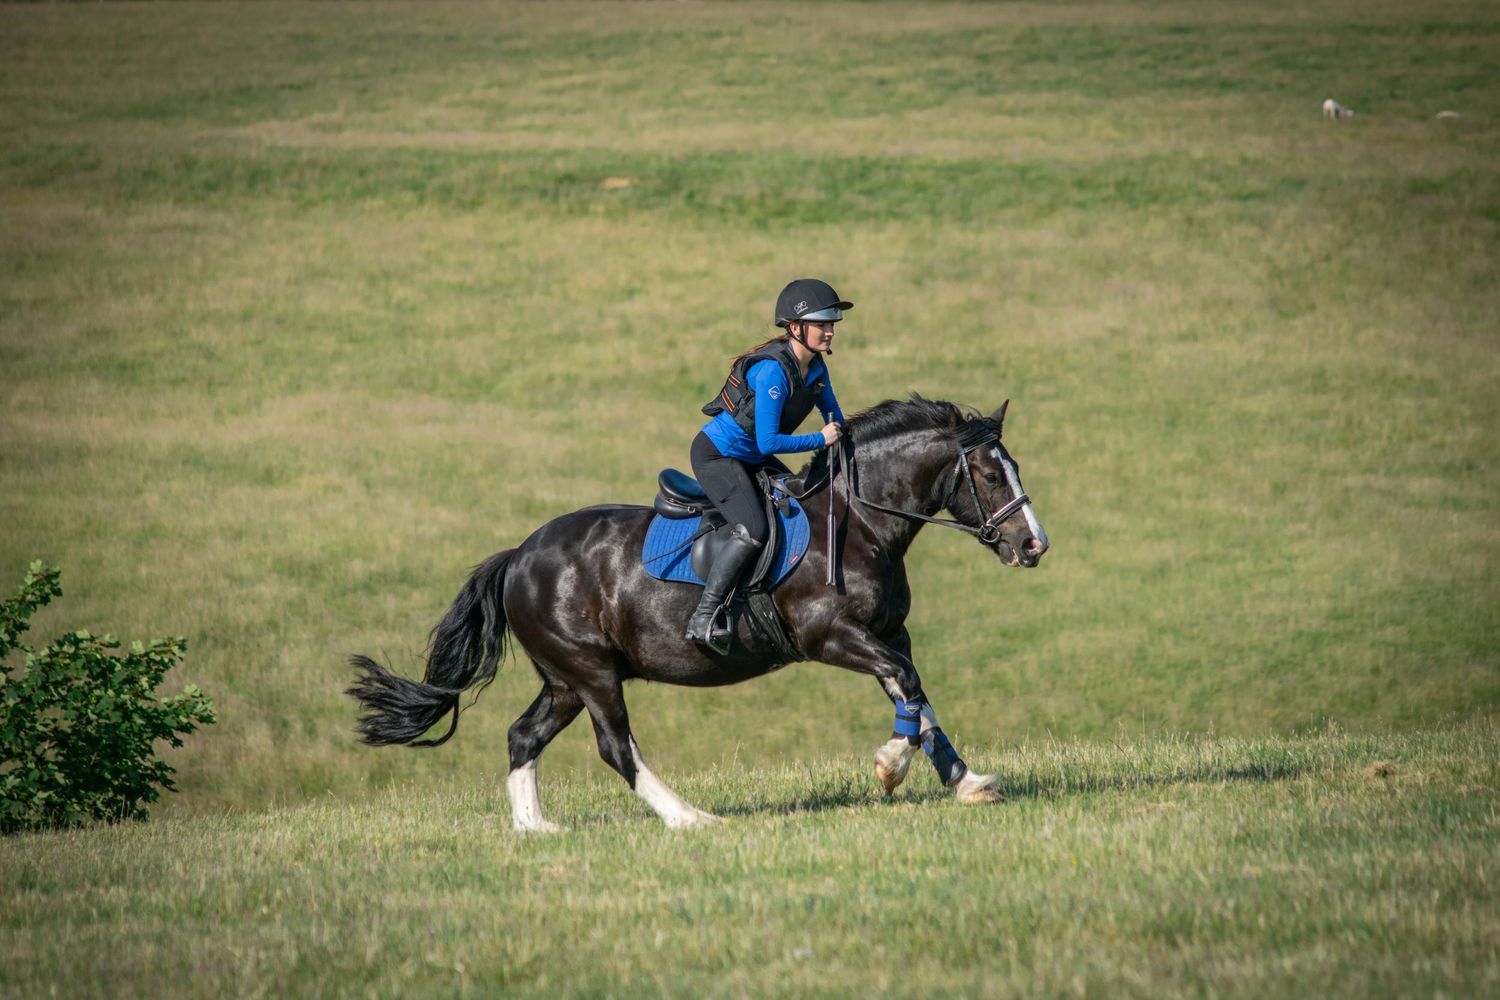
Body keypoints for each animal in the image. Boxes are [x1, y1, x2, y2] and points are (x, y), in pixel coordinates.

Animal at [347, 395, 1048, 830]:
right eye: (991, 475)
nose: (1033, 546)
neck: (856, 523)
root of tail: (517, 556)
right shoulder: (830, 636)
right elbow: (907, 686)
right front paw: (890, 767)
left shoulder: (885, 632)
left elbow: (917, 697)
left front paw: (965, 782)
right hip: (592, 673)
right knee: (616, 746)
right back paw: (690, 818)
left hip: (565, 679)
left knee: (524, 735)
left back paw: (535, 828)